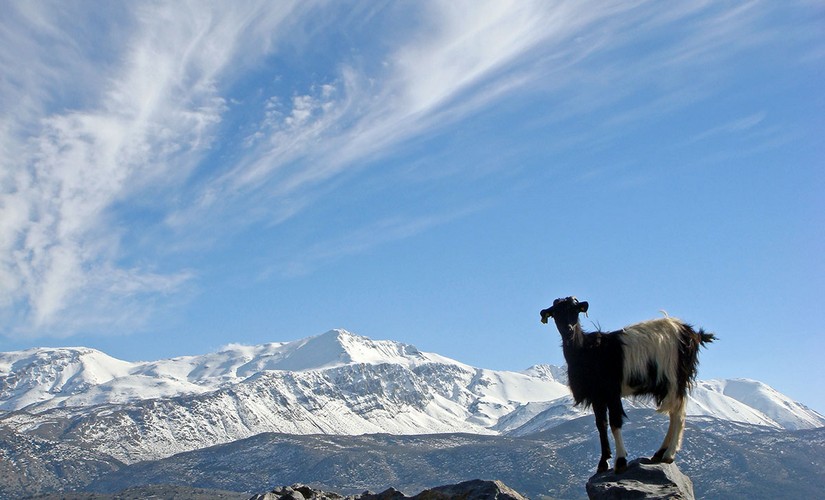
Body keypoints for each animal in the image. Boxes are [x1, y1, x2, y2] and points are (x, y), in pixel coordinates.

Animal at [540, 296, 716, 472]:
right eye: (556, 313)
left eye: (575, 310)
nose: (569, 329)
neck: (587, 350)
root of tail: (692, 334)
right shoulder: (597, 396)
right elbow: (601, 424)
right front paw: (603, 463)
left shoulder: (612, 391)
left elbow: (615, 423)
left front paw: (620, 461)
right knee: (673, 414)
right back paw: (659, 453)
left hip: (675, 379)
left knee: (679, 415)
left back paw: (668, 454)